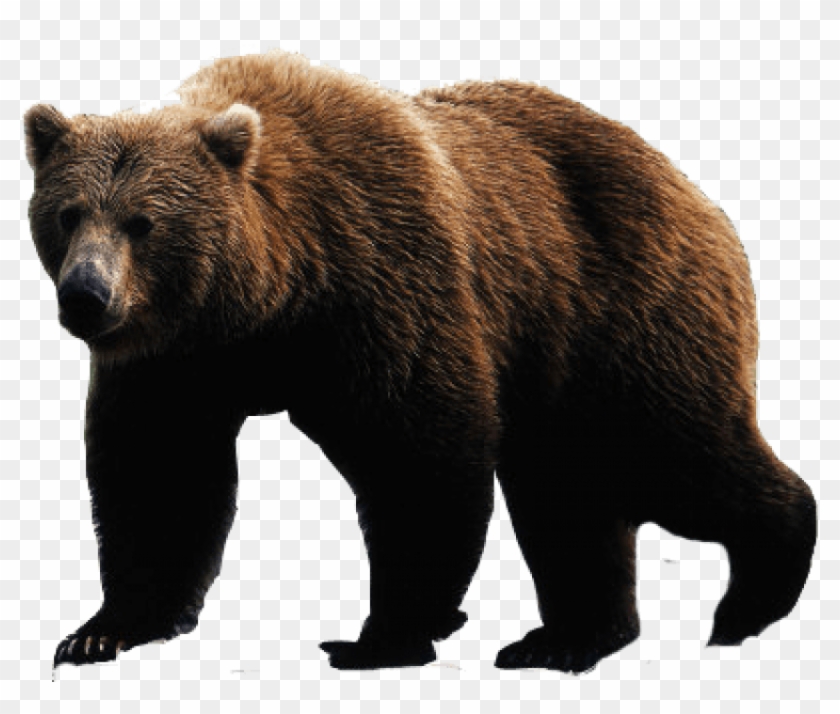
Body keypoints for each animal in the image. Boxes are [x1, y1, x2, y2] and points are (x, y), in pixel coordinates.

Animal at [25, 50, 816, 673]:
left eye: (144, 223)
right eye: (68, 213)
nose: (86, 297)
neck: (270, 300)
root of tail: (696, 193)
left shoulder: (383, 282)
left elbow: (419, 453)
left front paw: (384, 634)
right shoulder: (178, 360)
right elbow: (159, 474)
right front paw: (101, 632)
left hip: (620, 312)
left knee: (669, 452)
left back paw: (753, 595)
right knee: (568, 489)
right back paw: (565, 638)